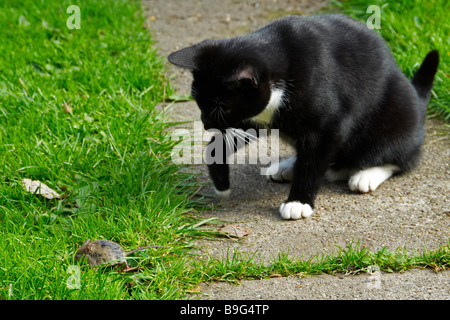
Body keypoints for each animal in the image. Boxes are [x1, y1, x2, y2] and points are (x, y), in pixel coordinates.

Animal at [168, 14, 436, 220]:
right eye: (199, 103)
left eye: (223, 108)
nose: (206, 124)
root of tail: (417, 99)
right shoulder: (254, 117)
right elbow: (220, 143)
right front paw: (221, 183)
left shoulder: (331, 123)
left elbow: (314, 159)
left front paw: (299, 202)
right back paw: (288, 166)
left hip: (397, 116)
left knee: (402, 157)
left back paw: (366, 174)